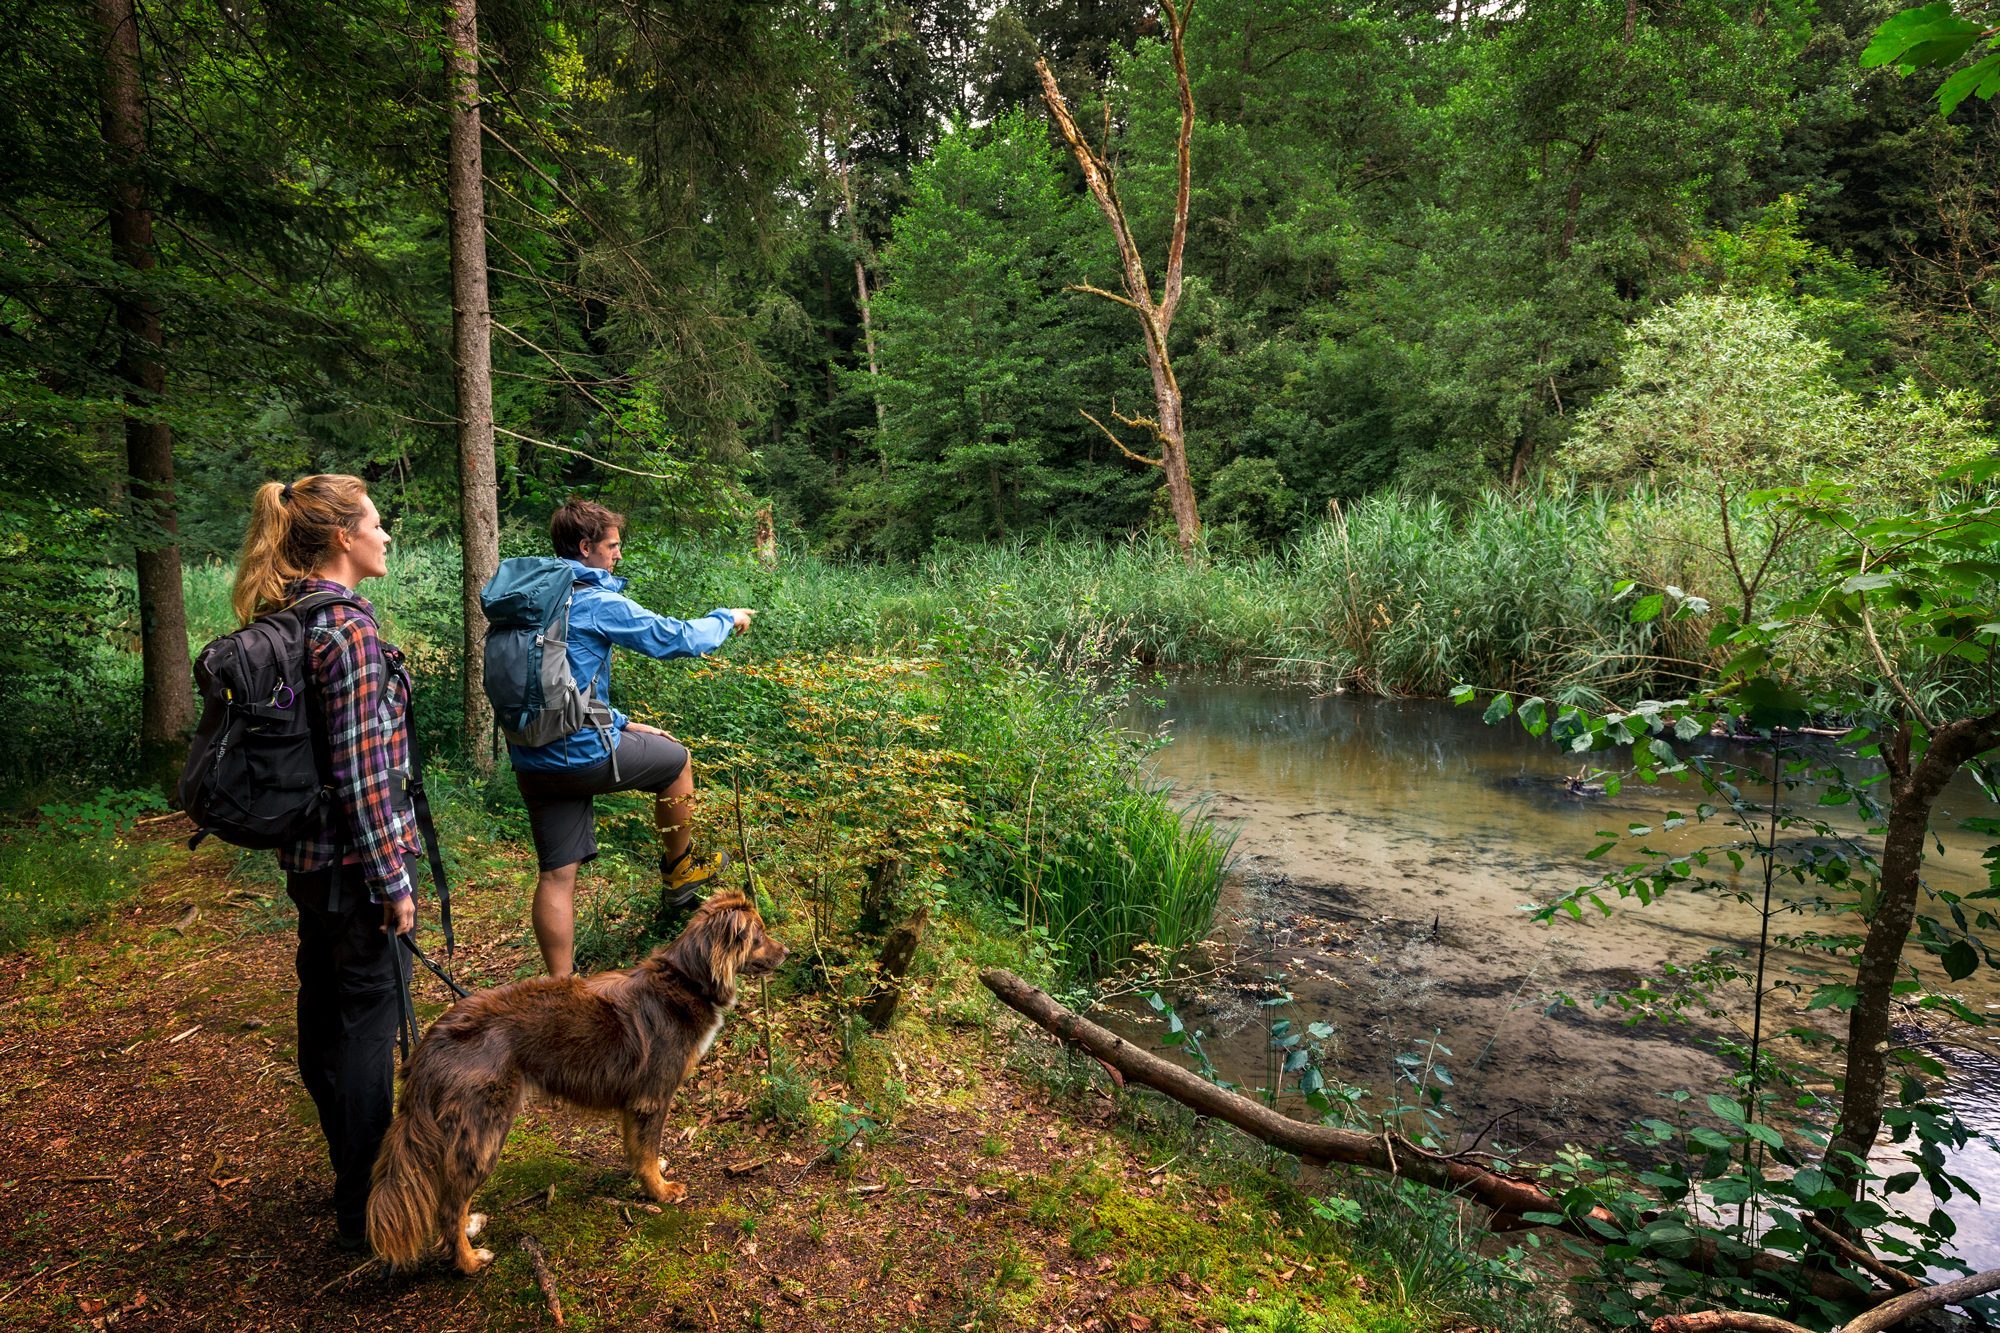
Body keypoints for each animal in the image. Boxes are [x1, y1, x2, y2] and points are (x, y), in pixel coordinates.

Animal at [370, 888, 788, 1264]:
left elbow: (638, 1149)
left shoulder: (634, 1103)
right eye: (760, 935)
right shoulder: (653, 1097)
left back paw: (470, 1226)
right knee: (447, 1207)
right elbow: (648, 1149)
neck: (687, 981)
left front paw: (646, 1175)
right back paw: (469, 1261)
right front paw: (660, 1191)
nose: (787, 952)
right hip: (485, 1133)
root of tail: (433, 1041)